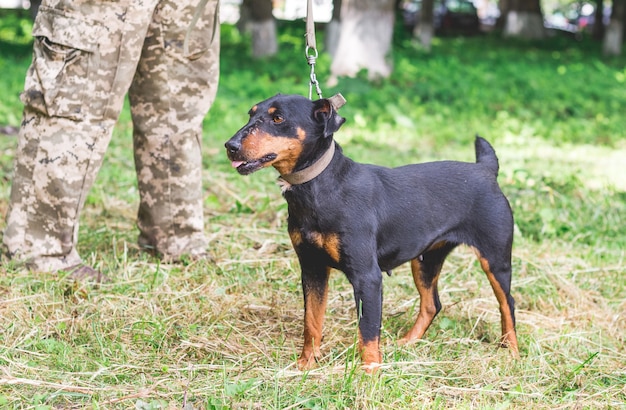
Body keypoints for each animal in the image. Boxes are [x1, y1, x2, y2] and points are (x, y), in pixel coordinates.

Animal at [224, 94, 516, 374]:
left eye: (278, 118)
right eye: (251, 114)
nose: (230, 145)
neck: (321, 186)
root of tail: (485, 169)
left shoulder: (367, 277)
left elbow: (368, 332)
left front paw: (370, 373)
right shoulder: (312, 268)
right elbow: (312, 322)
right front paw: (306, 365)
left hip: (495, 260)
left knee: (507, 303)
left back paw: (511, 351)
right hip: (425, 260)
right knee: (432, 304)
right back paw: (408, 342)